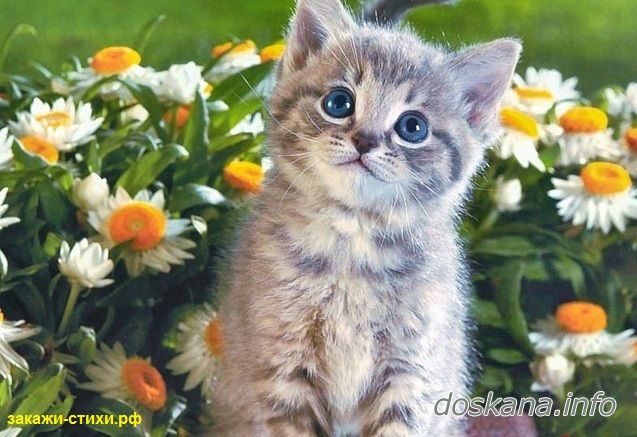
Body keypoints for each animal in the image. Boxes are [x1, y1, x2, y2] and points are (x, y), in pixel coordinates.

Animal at [209, 0, 521, 435]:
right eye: (339, 103)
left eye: (413, 127)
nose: (365, 140)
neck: (352, 242)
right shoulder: (281, 368)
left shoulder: (411, 376)